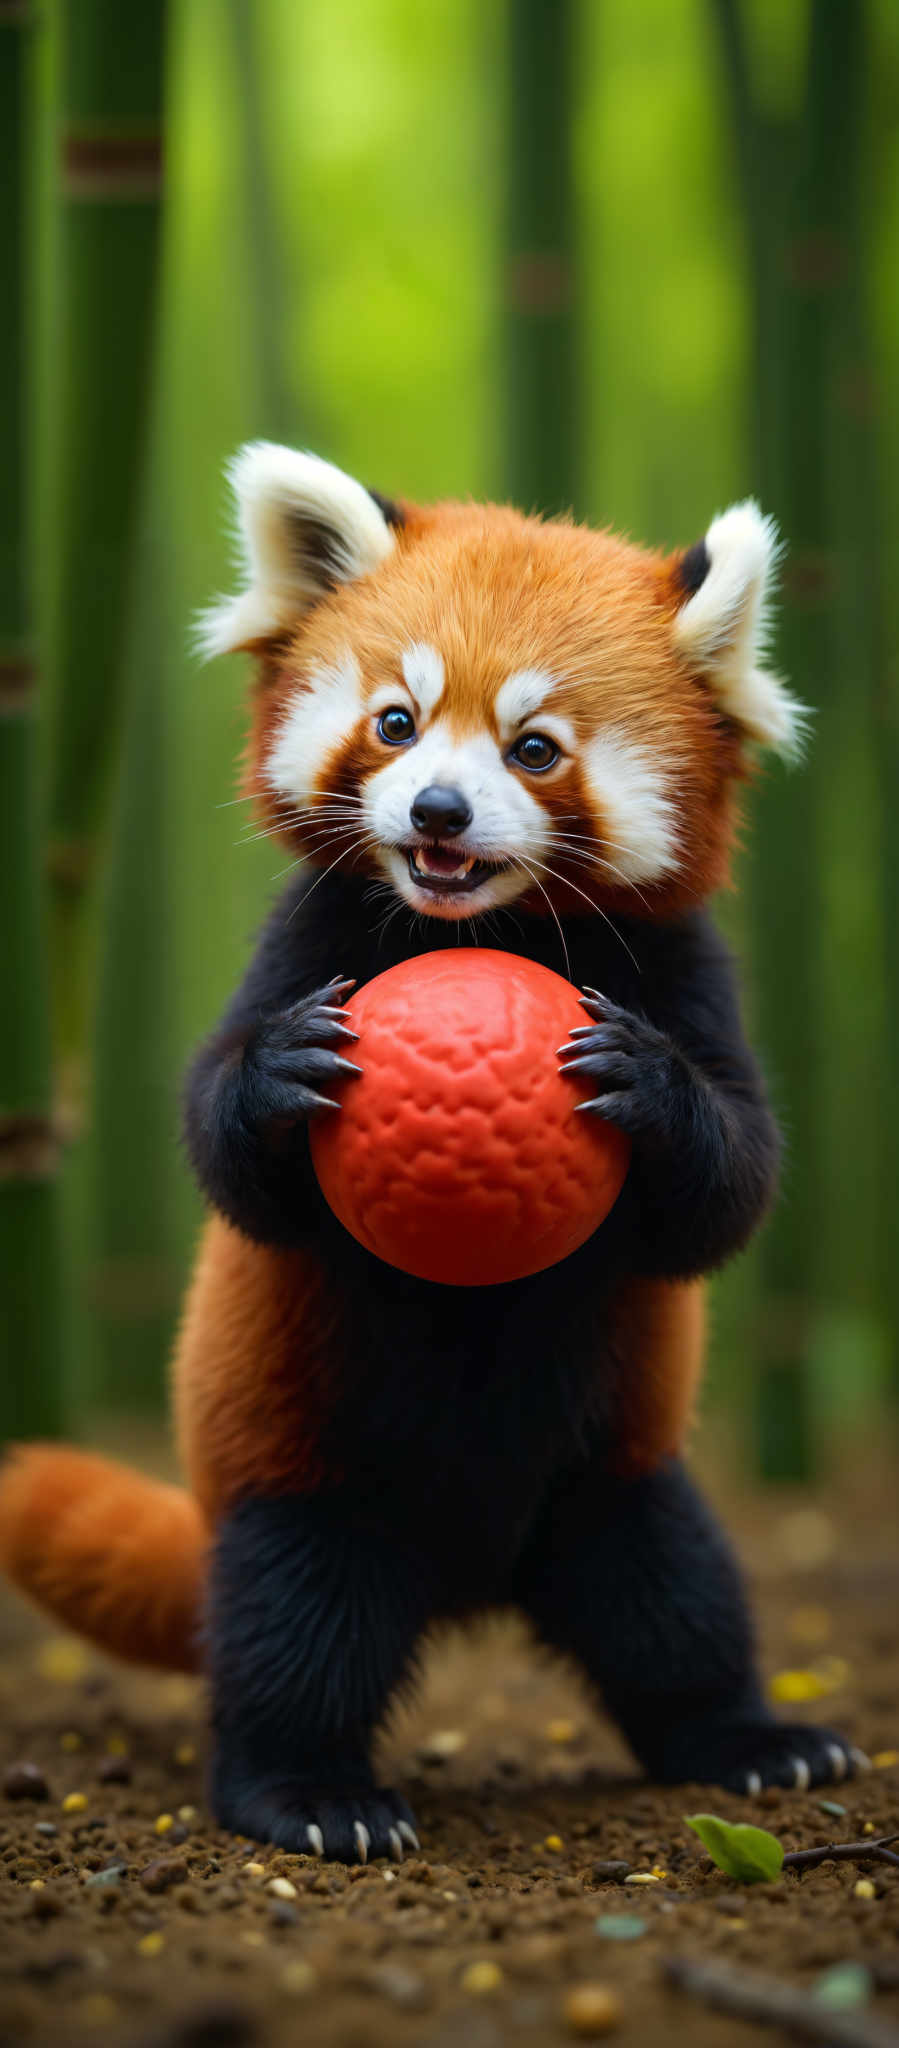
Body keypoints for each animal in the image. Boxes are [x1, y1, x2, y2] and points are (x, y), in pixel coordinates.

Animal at [1, 448, 860, 1875]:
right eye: (396, 723)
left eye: (533, 746)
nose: (438, 809)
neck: (479, 923)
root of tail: (473, 1575)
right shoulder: (308, 939)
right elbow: (226, 1152)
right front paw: (276, 1075)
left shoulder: (687, 969)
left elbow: (728, 1191)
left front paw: (649, 1089)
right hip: (302, 1478)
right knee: (291, 1632)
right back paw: (306, 1789)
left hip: (614, 1481)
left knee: (674, 1603)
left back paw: (750, 1737)